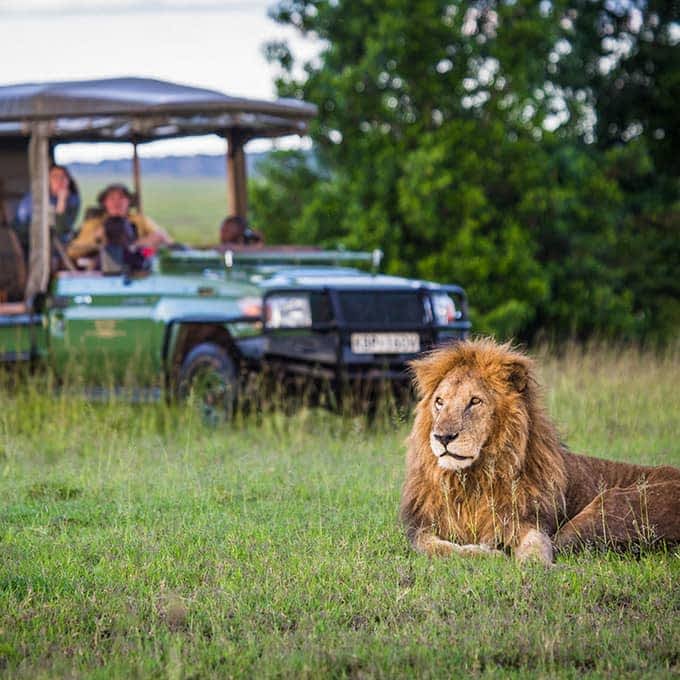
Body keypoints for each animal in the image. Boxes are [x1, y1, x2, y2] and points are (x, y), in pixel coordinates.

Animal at [398, 338, 680, 564]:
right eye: (439, 402)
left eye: (475, 401)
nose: (443, 437)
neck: (473, 480)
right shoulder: (422, 527)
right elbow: (435, 547)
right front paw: (487, 553)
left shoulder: (526, 519)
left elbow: (537, 543)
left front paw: (532, 564)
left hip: (611, 504)